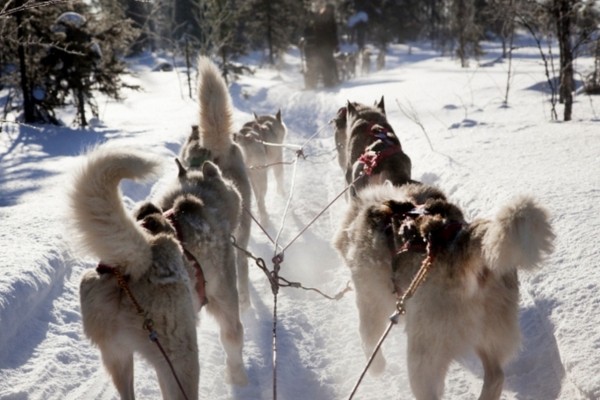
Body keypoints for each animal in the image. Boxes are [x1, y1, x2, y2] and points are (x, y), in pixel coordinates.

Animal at [332, 182, 552, 400]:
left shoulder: (370, 301)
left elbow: (368, 340)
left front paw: (376, 368)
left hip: (423, 354)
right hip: (489, 337)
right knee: (496, 377)